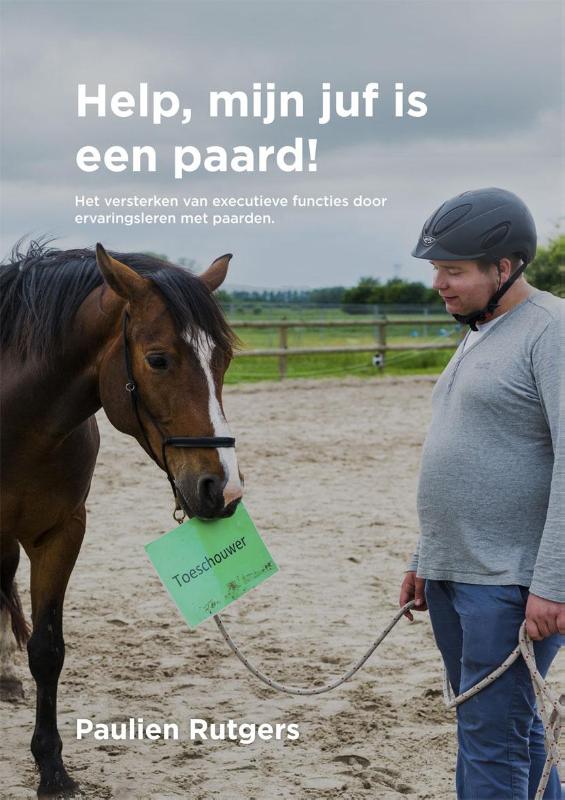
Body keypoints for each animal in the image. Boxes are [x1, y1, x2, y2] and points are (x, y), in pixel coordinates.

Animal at [0, 241, 244, 797]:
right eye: (158, 360)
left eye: (223, 359)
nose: (222, 489)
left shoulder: (61, 534)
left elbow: (47, 650)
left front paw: (52, 769)